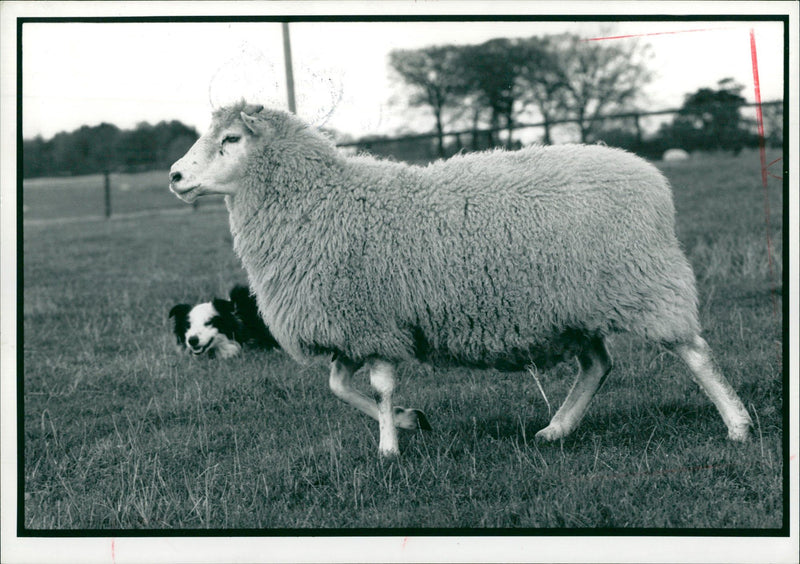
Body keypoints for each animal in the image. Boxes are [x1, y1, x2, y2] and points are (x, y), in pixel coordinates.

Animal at [166, 99, 752, 456]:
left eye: (231, 138)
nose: (173, 176)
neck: (322, 199)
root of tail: (648, 173)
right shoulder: (352, 328)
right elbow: (339, 387)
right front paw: (409, 421)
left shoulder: (376, 322)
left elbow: (378, 387)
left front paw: (388, 447)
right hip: (571, 304)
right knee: (597, 364)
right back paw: (556, 428)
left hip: (646, 284)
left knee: (694, 353)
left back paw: (738, 425)